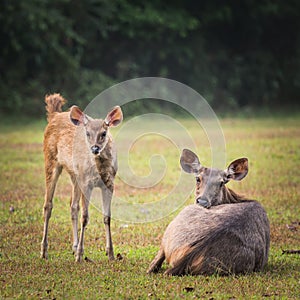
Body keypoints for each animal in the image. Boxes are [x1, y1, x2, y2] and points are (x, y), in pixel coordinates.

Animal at [41, 93, 123, 260]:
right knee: (48, 205)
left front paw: (111, 254)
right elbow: (85, 217)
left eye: (104, 133)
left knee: (73, 205)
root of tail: (54, 115)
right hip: (51, 160)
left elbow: (107, 217)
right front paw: (79, 256)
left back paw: (74, 246)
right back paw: (44, 251)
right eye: (87, 133)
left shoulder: (109, 184)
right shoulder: (87, 183)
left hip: (75, 175)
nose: (95, 149)